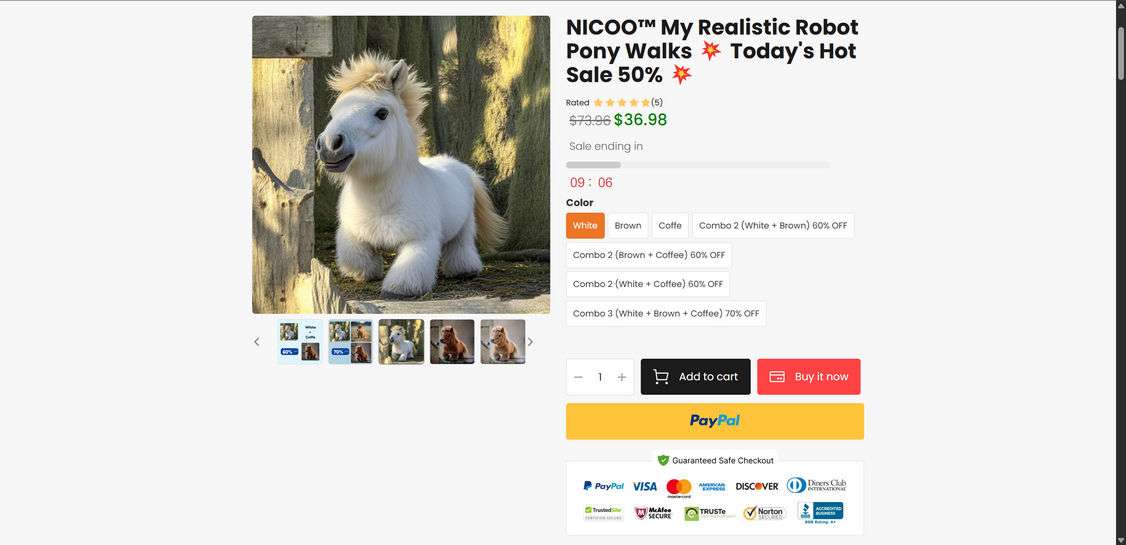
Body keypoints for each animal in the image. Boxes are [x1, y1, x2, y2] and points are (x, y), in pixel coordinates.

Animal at [317, 53, 507, 297]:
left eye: (382, 113)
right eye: (333, 112)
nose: (329, 144)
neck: (381, 204)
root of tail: (458, 166)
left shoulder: (419, 240)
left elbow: (410, 269)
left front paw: (399, 290)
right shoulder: (352, 235)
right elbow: (357, 258)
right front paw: (365, 274)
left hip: (465, 227)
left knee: (460, 246)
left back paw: (465, 270)